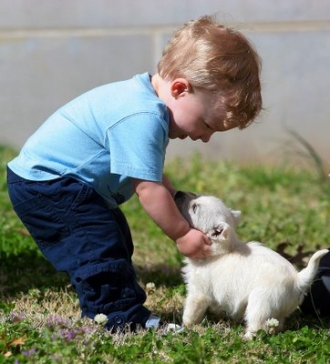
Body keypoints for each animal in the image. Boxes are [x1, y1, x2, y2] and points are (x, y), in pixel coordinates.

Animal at [174, 192, 328, 340]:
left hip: (259, 303)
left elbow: (190, 312)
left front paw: (187, 326)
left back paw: (245, 337)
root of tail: (297, 280)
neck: (221, 249)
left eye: (194, 208)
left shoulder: (198, 293)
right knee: (274, 325)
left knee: (258, 326)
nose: (178, 192)